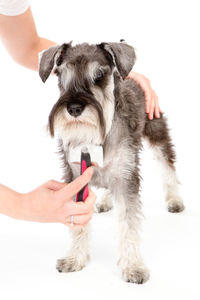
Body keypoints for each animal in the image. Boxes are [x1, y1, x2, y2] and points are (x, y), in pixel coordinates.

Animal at [38, 40, 184, 284]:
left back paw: (175, 200)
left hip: (156, 133)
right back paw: (106, 201)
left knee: (167, 166)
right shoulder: (76, 178)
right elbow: (78, 223)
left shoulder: (126, 178)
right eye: (61, 74)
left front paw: (133, 267)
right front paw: (74, 258)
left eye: (99, 74)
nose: (74, 108)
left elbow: (129, 223)